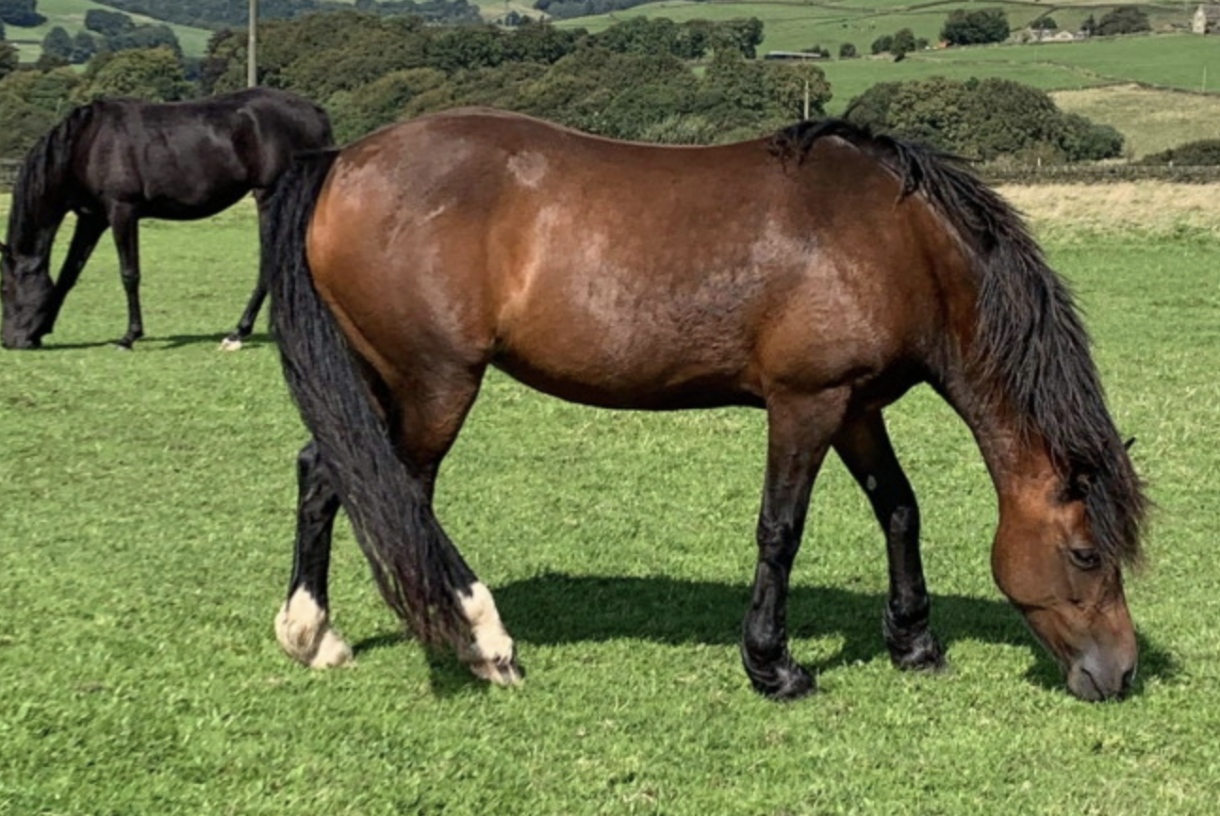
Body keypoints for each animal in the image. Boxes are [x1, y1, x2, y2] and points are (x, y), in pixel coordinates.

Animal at [0, 87, 334, 351]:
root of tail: (315, 113)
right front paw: (43, 329)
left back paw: (238, 333)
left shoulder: (122, 211)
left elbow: (129, 274)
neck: (89, 143)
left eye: (5, 288)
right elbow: (69, 273)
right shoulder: (92, 218)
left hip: (270, 198)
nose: (11, 341)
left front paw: (129, 337)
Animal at [262, 108, 1148, 702]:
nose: (1119, 672)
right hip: (435, 384)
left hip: (383, 380)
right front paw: (773, 665)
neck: (895, 241)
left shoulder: (858, 407)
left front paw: (914, 641)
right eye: (1085, 554)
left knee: (324, 471)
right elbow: (781, 530)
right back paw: (484, 643)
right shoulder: (806, 403)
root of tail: (340, 161)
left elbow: (899, 508)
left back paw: (312, 635)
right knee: (400, 496)